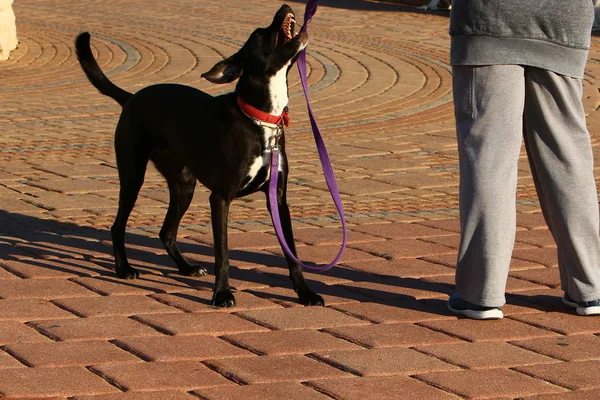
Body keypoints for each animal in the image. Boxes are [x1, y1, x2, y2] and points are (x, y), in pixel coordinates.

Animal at [77, 3, 326, 306]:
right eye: (258, 33)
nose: (285, 6)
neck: (259, 118)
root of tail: (132, 97)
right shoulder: (220, 198)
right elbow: (223, 253)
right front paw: (222, 293)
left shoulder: (278, 200)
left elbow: (292, 254)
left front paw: (305, 292)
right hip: (133, 176)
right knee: (118, 226)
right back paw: (124, 268)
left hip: (184, 185)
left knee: (166, 232)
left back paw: (186, 267)